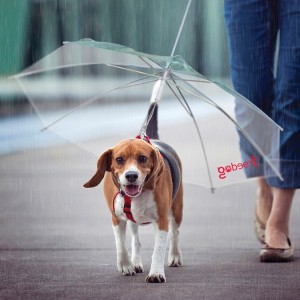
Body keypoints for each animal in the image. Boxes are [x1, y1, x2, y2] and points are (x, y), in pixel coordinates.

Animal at [84, 103, 183, 284]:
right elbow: (121, 245)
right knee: (135, 240)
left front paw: (156, 273)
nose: (131, 175)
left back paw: (175, 256)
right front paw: (126, 265)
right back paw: (135, 262)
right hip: (133, 220)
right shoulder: (116, 218)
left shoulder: (161, 219)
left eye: (142, 158)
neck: (137, 194)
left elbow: (158, 249)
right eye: (119, 159)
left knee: (175, 233)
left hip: (177, 209)